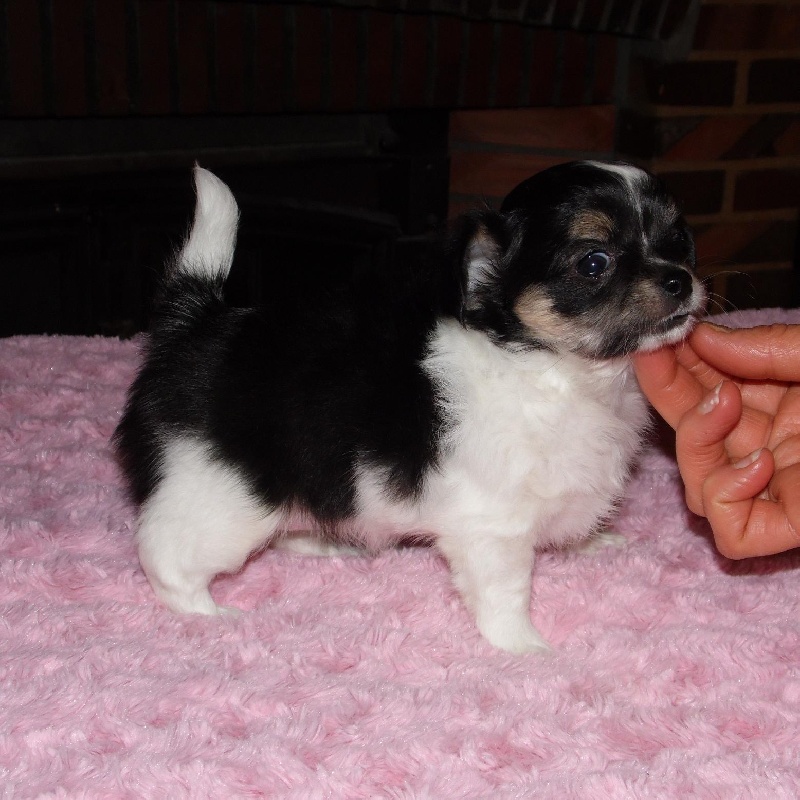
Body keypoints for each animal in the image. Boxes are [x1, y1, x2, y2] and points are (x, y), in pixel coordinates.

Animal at [114, 161, 705, 653]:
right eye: (594, 262)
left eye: (679, 241)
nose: (680, 279)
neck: (554, 368)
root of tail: (197, 325)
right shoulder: (494, 528)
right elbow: (506, 593)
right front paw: (525, 649)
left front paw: (593, 543)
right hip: (222, 494)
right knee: (166, 554)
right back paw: (209, 616)